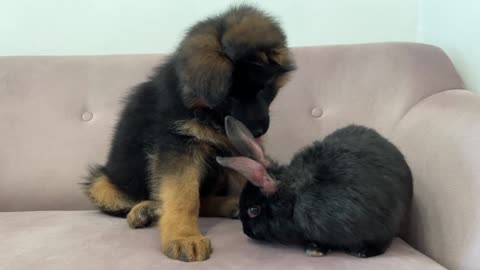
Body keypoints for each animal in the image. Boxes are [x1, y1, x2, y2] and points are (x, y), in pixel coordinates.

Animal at [83, 4, 292, 262]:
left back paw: (228, 204)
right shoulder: (179, 142)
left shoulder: (233, 145)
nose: (258, 131)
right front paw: (184, 237)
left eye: (264, 89)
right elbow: (183, 194)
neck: (205, 111)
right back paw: (144, 210)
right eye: (229, 98)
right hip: (100, 183)